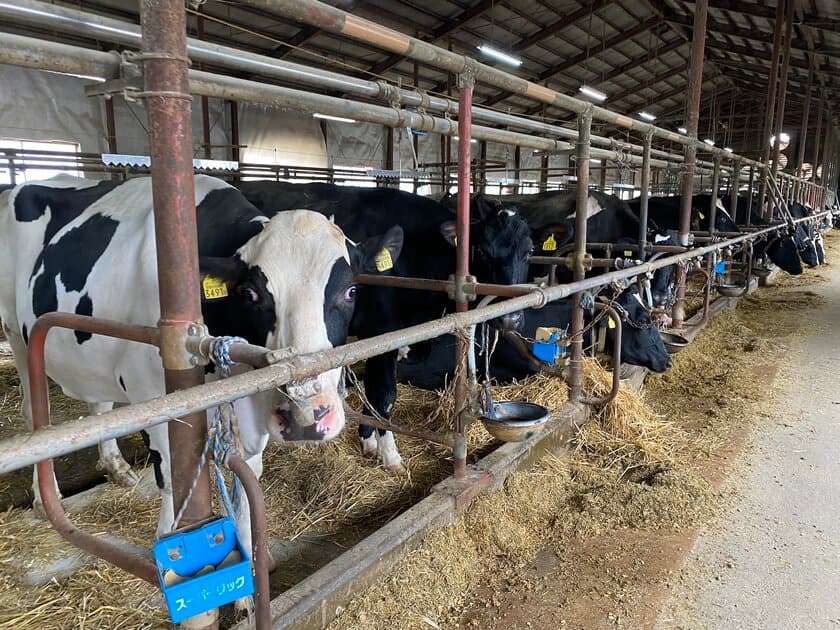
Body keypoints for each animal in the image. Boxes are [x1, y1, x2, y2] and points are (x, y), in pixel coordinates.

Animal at [0, 175, 398, 556]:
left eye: (351, 291)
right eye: (251, 294)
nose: (305, 418)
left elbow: (248, 477)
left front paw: (248, 550)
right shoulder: (156, 400)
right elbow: (172, 479)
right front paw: (171, 544)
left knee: (100, 404)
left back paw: (116, 467)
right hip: (16, 334)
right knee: (34, 414)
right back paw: (44, 497)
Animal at [236, 180, 532, 472]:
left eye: (529, 252)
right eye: (481, 250)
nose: (510, 318)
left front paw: (368, 440)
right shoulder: (381, 331)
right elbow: (384, 394)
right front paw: (390, 455)